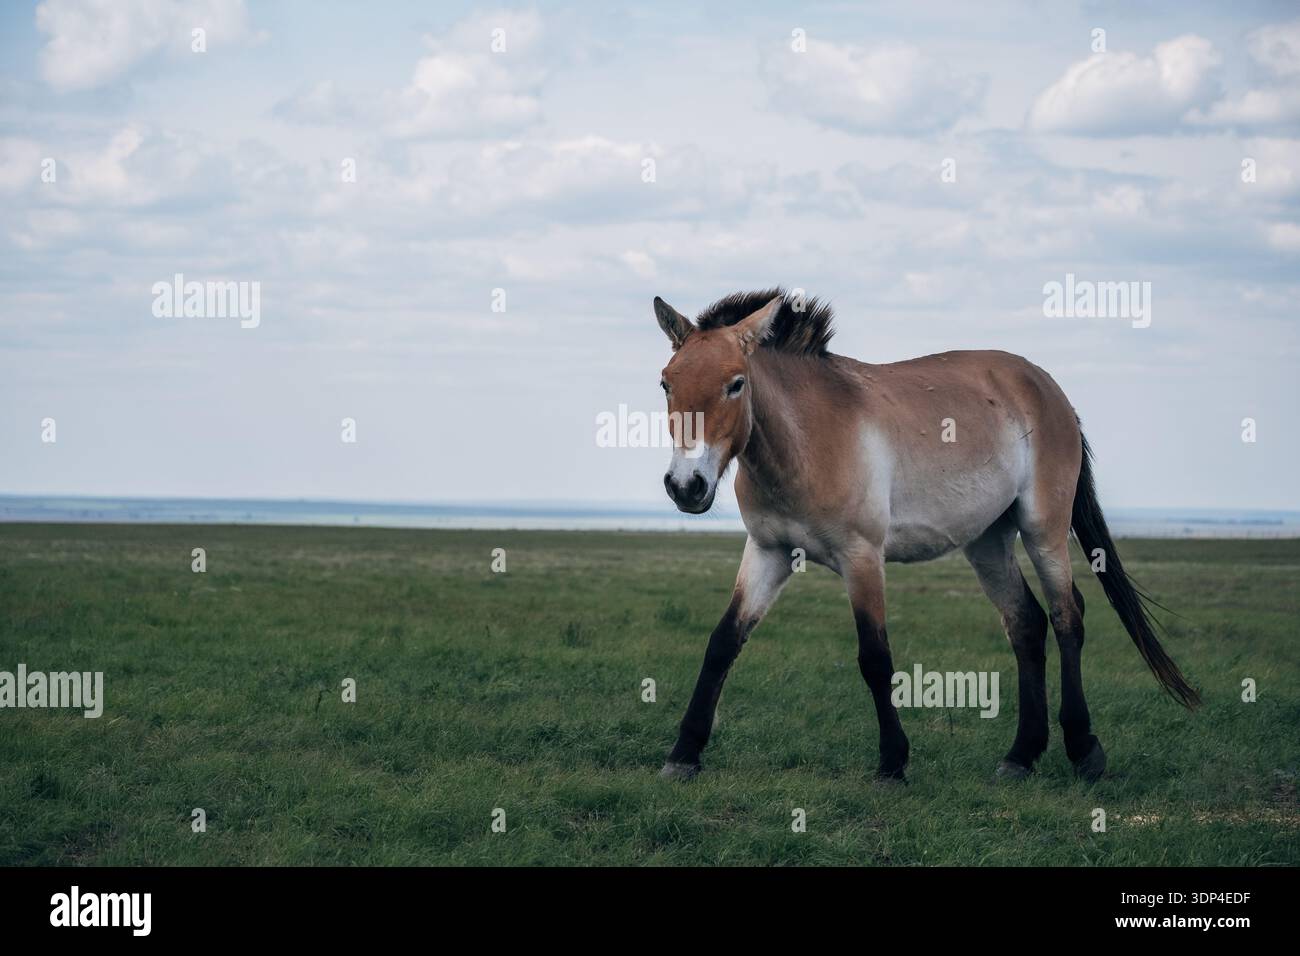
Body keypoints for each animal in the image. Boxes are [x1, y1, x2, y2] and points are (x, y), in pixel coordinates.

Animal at [652, 288, 1198, 783]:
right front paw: (684, 754)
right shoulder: (769, 552)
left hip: (1042, 530)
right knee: (1026, 623)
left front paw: (893, 762)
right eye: (666, 383)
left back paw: (1084, 749)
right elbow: (723, 642)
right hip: (988, 540)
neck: (806, 439)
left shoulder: (861, 557)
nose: (686, 485)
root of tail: (1048, 388)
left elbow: (875, 657)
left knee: (1068, 618)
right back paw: (1021, 755)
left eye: (736, 384)